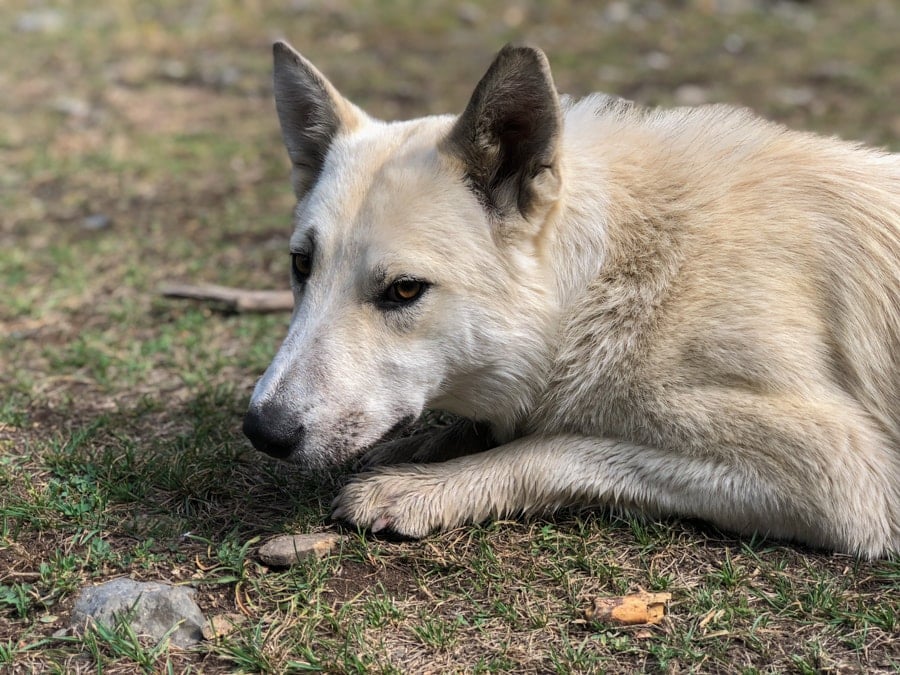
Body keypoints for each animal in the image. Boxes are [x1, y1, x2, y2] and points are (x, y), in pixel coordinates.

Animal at [241, 43, 900, 560]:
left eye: (404, 290)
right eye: (302, 266)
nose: (261, 431)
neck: (607, 284)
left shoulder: (843, 475)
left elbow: (555, 446)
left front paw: (425, 485)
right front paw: (424, 447)